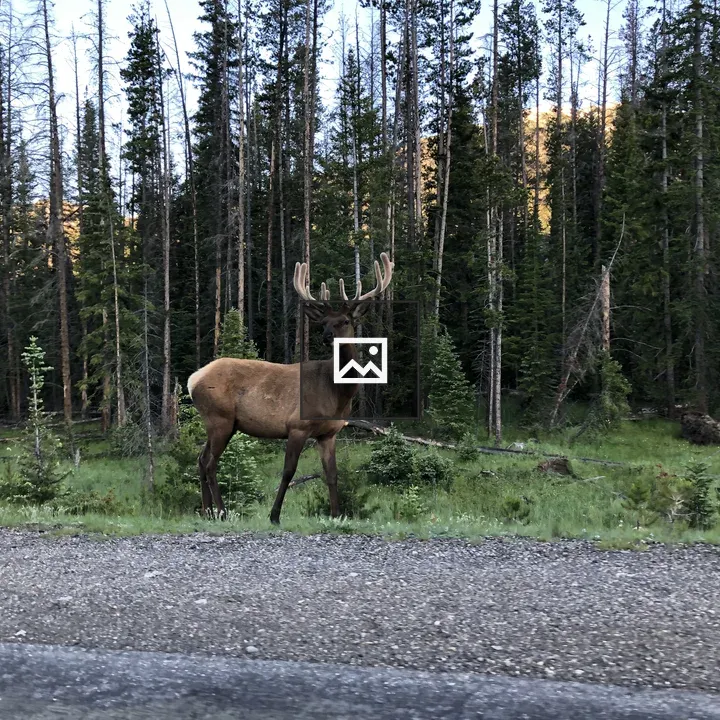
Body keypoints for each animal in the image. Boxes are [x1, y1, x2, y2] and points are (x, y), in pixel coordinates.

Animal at [187, 252, 394, 525]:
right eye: (324, 322)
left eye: (345, 320)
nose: (327, 336)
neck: (336, 394)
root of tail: (193, 380)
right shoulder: (297, 426)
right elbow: (288, 471)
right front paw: (274, 515)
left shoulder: (329, 433)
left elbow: (332, 474)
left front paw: (337, 514)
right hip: (219, 418)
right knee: (210, 463)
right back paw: (221, 512)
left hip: (224, 424)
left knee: (201, 459)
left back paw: (207, 512)